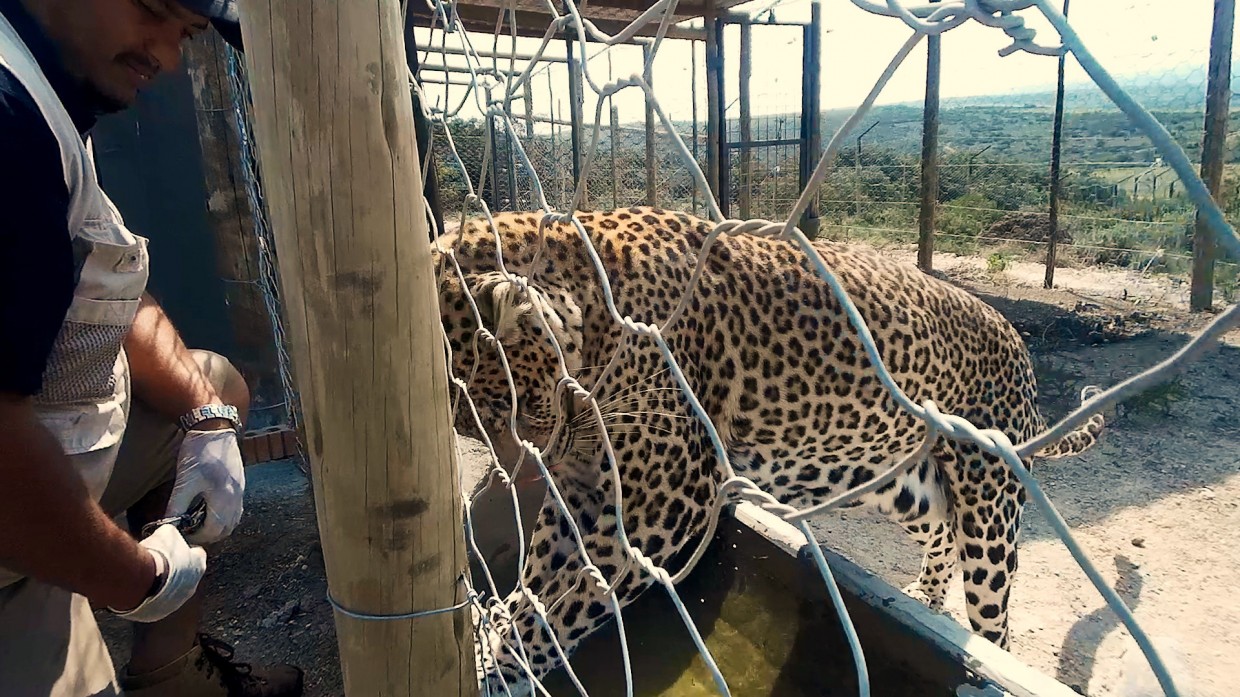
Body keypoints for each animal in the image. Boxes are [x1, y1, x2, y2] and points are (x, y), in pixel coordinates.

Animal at [434, 203, 1106, 689]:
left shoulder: (658, 509)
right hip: (905, 486)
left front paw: (502, 667)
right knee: (940, 532)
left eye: (510, 407)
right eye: (471, 426)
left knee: (994, 622)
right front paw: (494, 629)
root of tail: (1019, 344)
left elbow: (566, 604)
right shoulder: (586, 487)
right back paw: (925, 595)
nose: (522, 468)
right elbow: (542, 573)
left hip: (990, 513)